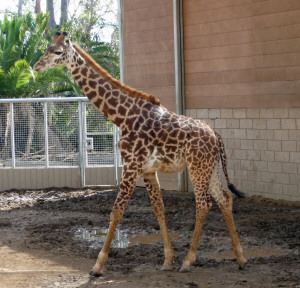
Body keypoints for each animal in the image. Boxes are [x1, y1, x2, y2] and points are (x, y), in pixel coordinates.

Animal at [33, 32, 246, 276]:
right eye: (47, 48)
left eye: (58, 51)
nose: (37, 66)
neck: (123, 116)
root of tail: (216, 135)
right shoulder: (148, 170)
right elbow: (159, 209)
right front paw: (167, 260)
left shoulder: (131, 165)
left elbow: (116, 211)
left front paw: (97, 265)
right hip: (209, 168)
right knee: (224, 198)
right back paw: (240, 257)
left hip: (197, 168)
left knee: (204, 204)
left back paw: (188, 261)